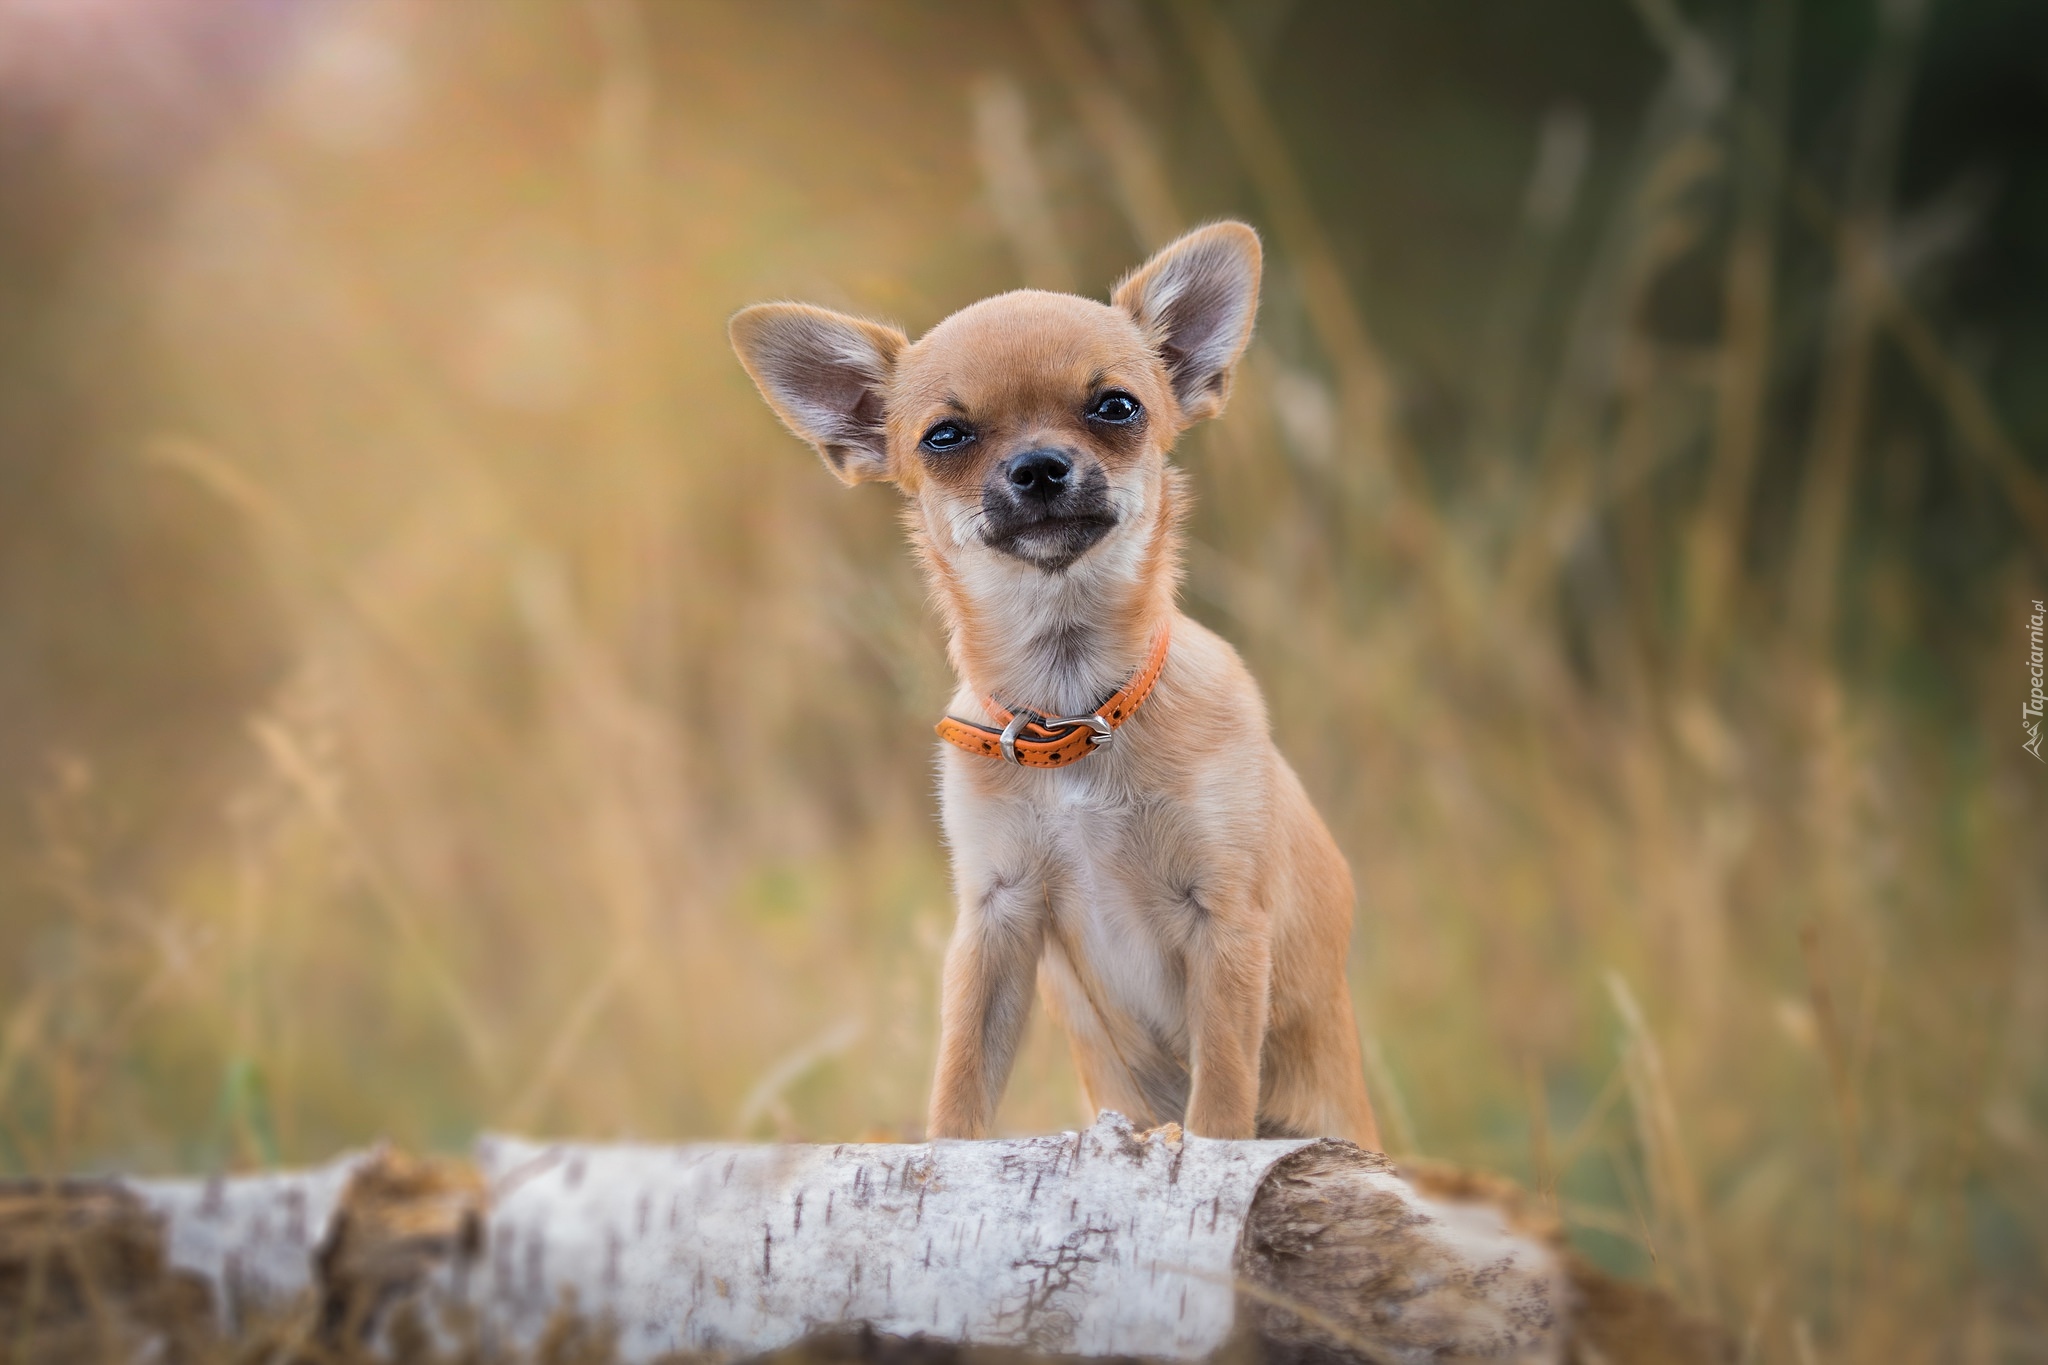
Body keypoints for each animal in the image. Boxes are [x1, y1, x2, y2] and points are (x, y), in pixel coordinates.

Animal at [733, 222, 1376, 1146]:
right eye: (945, 436)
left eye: (1116, 407)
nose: (1039, 466)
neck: (1073, 709)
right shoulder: (996, 916)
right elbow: (962, 1076)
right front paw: (943, 1153)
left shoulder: (1226, 921)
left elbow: (1220, 1092)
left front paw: (1204, 1144)